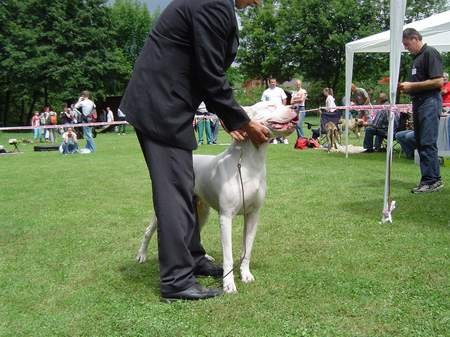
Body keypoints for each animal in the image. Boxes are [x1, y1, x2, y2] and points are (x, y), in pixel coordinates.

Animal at [137, 101, 298, 292]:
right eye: (270, 105)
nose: (296, 107)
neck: (249, 162)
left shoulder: (253, 214)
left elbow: (247, 250)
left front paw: (245, 274)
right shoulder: (226, 216)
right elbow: (228, 254)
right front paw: (228, 284)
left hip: (202, 211)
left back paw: (204, 258)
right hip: (163, 212)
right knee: (148, 231)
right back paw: (141, 255)